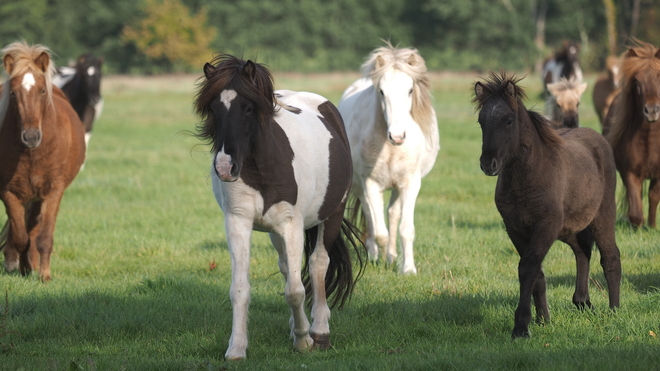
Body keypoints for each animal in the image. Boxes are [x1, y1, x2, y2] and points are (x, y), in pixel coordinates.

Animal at [0, 40, 85, 282]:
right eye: (13, 93)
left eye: (42, 90)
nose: (31, 137)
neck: (31, 154)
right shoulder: (8, 192)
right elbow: (21, 237)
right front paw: (24, 269)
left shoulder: (53, 191)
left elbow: (44, 237)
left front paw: (44, 275)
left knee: (35, 227)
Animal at [193, 54, 366, 360]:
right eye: (213, 108)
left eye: (249, 107)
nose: (225, 167)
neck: (262, 166)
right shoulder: (238, 222)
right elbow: (240, 289)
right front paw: (236, 348)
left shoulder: (291, 224)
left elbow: (296, 289)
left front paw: (304, 340)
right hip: (275, 232)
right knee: (287, 267)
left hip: (332, 214)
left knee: (318, 264)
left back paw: (319, 330)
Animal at [338, 44, 440, 276]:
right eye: (382, 92)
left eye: (410, 90)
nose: (397, 136)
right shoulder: (370, 184)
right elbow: (380, 232)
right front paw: (382, 257)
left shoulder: (411, 184)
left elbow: (405, 228)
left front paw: (407, 268)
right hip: (360, 185)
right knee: (370, 216)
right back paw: (375, 254)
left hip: (397, 186)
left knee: (393, 214)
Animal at [474, 72, 620, 340]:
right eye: (481, 121)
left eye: (508, 120)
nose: (488, 164)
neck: (528, 176)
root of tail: (599, 140)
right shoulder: (515, 228)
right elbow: (537, 273)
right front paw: (543, 320)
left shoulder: (546, 225)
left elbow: (528, 268)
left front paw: (521, 327)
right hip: (569, 227)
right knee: (583, 251)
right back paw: (583, 302)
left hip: (603, 216)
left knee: (610, 256)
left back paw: (614, 310)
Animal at [604, 40, 660, 228]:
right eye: (636, 80)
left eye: (659, 76)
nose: (652, 111)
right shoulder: (630, 172)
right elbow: (635, 210)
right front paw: (637, 227)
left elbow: (653, 197)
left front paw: (652, 226)